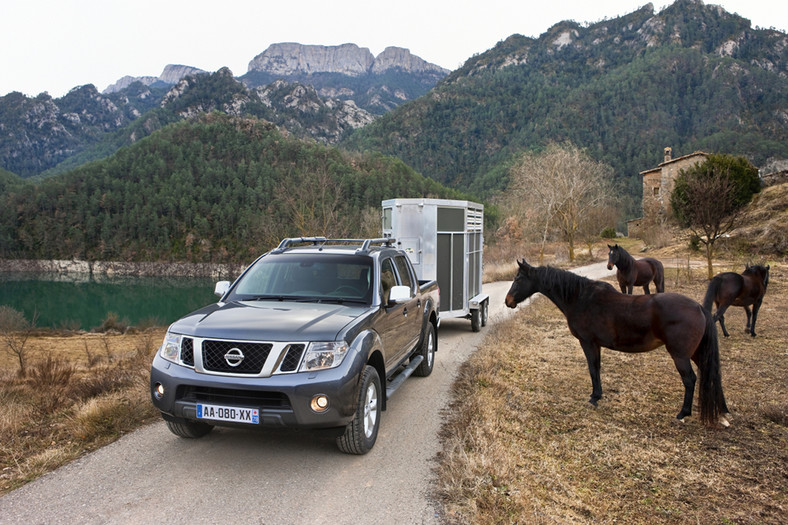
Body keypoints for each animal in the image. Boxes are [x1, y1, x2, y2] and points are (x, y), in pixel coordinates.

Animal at [508, 258, 728, 426]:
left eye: (519, 278)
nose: (507, 301)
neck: (580, 298)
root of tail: (699, 308)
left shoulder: (588, 343)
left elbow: (592, 369)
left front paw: (594, 398)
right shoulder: (595, 344)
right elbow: (597, 368)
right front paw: (598, 395)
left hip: (680, 355)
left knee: (690, 379)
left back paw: (683, 413)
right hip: (697, 353)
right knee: (713, 374)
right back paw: (723, 410)